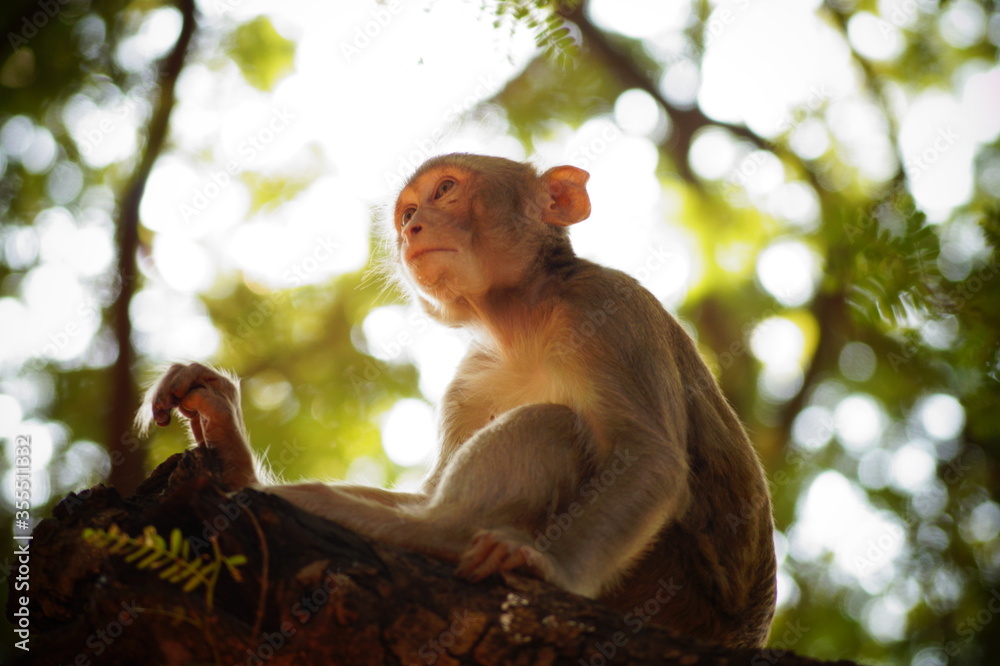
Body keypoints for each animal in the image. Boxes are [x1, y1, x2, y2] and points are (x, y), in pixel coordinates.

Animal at [140, 153, 776, 648]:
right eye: (406, 212)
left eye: (446, 189)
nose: (412, 228)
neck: (524, 319)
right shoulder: (473, 377)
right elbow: (432, 482)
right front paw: (231, 454)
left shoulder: (607, 304)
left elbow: (649, 457)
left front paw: (550, 567)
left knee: (552, 427)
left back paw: (430, 534)